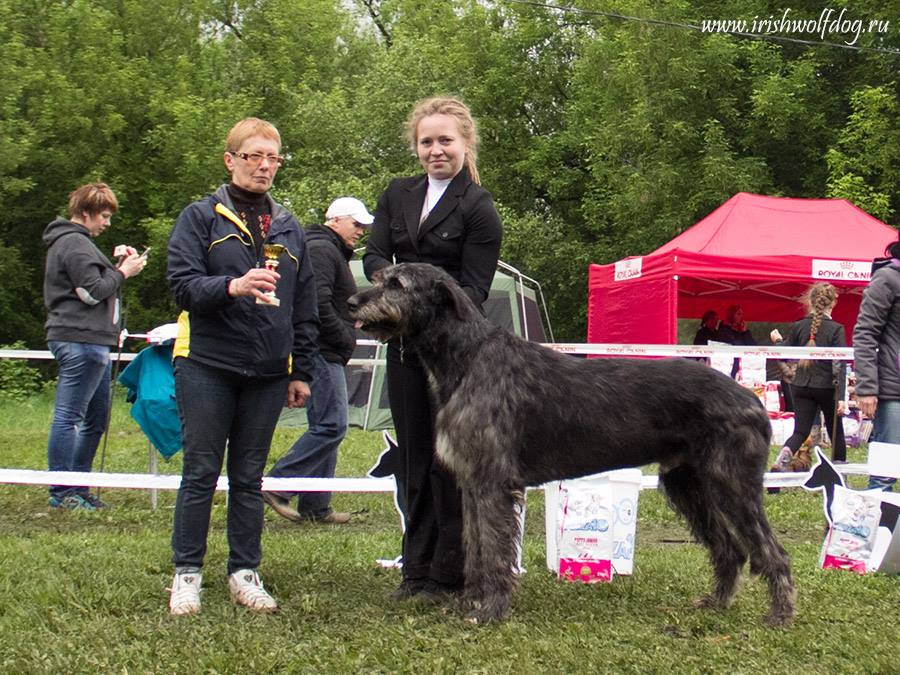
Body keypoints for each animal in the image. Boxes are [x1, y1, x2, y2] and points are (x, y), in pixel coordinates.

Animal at [348, 262, 800, 628]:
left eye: (397, 284)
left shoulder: (493, 482)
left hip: (732, 483)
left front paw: (489, 610)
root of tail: (752, 401)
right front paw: (471, 601)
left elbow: (493, 550)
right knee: (730, 549)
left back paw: (780, 614)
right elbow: (475, 546)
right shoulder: (473, 483)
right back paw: (716, 602)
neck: (468, 356)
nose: (351, 301)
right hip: (687, 484)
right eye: (378, 277)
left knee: (771, 549)